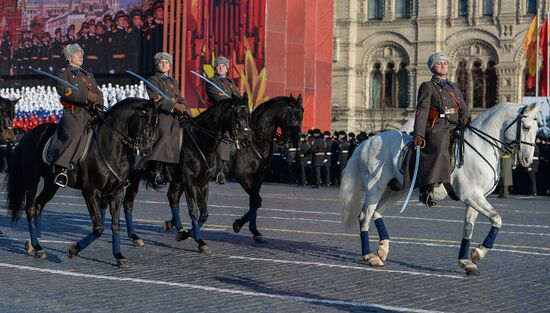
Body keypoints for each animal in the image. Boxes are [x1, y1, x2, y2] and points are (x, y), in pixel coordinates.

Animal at [6, 97, 158, 266]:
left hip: (51, 184)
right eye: (147, 122)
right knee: (30, 208)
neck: (110, 147)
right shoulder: (91, 193)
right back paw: (38, 247)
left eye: (156, 124)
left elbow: (115, 224)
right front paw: (73, 250)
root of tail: (28, 135)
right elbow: (98, 228)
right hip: (32, 179)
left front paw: (118, 255)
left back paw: (35, 244)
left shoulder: (116, 193)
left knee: (39, 204)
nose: (147, 152)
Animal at [122, 92, 253, 251]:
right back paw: (134, 236)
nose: (247, 141)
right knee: (128, 203)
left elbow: (204, 214)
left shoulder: (202, 184)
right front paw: (200, 242)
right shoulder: (190, 183)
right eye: (237, 115)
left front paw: (185, 234)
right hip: (134, 177)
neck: (200, 141)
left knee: (171, 198)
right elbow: (194, 212)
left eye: (248, 115)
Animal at [340, 101, 544, 274]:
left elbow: (468, 228)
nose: (527, 159)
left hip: (396, 190)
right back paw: (370, 256)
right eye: (526, 127)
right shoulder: (472, 196)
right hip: (375, 188)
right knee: (364, 217)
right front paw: (478, 253)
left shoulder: (474, 199)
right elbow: (497, 218)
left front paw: (466, 262)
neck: (481, 146)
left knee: (376, 213)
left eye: (537, 129)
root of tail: (368, 141)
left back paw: (383, 249)